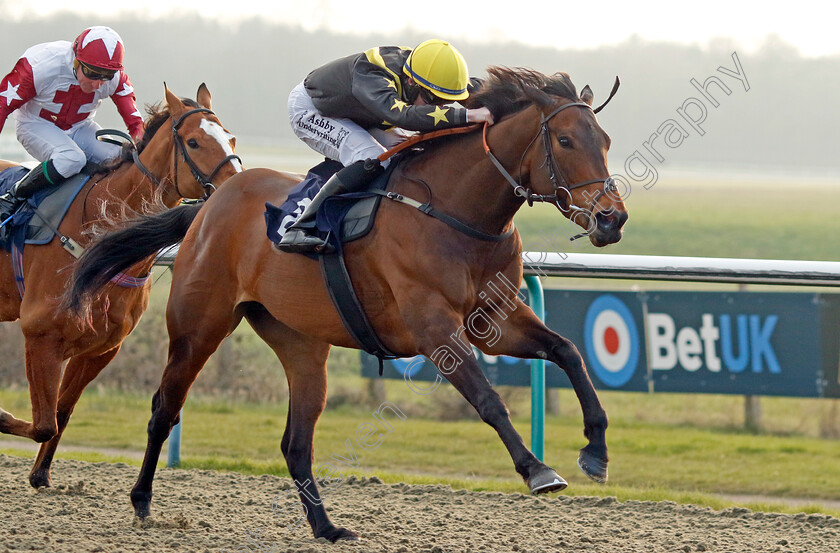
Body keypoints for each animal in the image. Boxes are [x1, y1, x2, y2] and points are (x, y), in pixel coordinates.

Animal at [0, 83, 243, 488]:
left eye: (231, 138)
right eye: (194, 142)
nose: (238, 188)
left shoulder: (99, 349)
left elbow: (59, 415)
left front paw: (40, 473)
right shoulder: (41, 334)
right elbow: (43, 423)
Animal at [65, 68, 628, 540]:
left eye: (605, 141)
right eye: (565, 139)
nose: (612, 219)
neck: (455, 210)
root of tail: (207, 206)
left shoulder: (494, 319)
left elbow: (567, 351)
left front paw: (596, 450)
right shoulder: (434, 328)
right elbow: (489, 399)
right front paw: (538, 469)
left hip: (300, 343)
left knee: (296, 442)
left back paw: (326, 527)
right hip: (198, 326)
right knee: (165, 408)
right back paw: (141, 500)